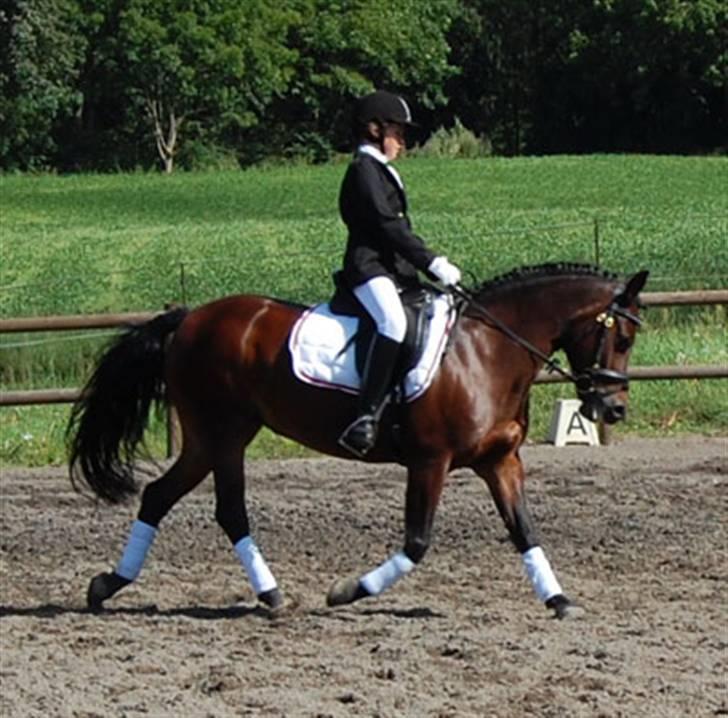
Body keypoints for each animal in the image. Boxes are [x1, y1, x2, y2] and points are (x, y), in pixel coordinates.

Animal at [67, 262, 648, 619]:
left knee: (186, 502)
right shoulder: (430, 461)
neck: (487, 351)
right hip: (217, 433)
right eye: (620, 336)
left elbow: (524, 530)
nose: (613, 409)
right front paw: (348, 591)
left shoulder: (500, 461)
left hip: (223, 436)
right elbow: (417, 543)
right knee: (192, 502)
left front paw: (560, 600)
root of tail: (190, 317)